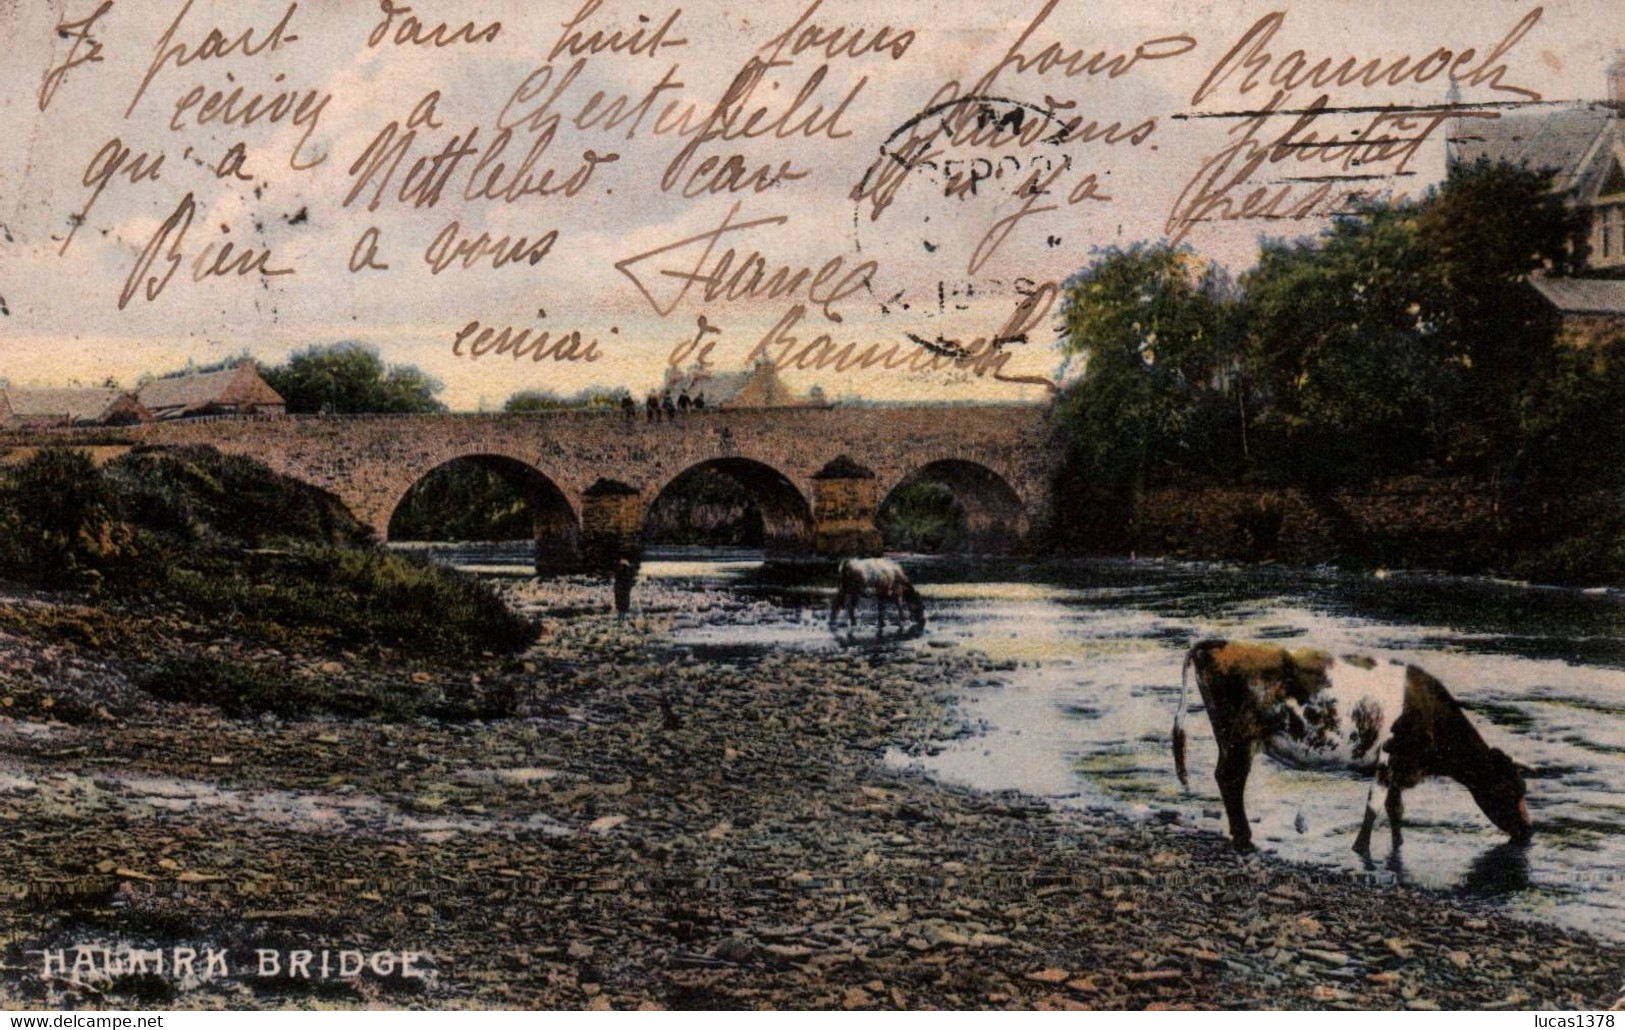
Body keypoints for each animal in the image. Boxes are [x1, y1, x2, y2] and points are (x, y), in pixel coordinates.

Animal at [1170, 643, 1534, 851]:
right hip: (1238, 737)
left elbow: (1395, 809)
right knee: (1230, 780)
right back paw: (1244, 838)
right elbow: (1374, 807)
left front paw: (1398, 844)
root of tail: (1216, 643)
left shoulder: (1399, 763)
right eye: (1512, 788)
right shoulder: (1390, 756)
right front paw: (1361, 849)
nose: (1529, 832)